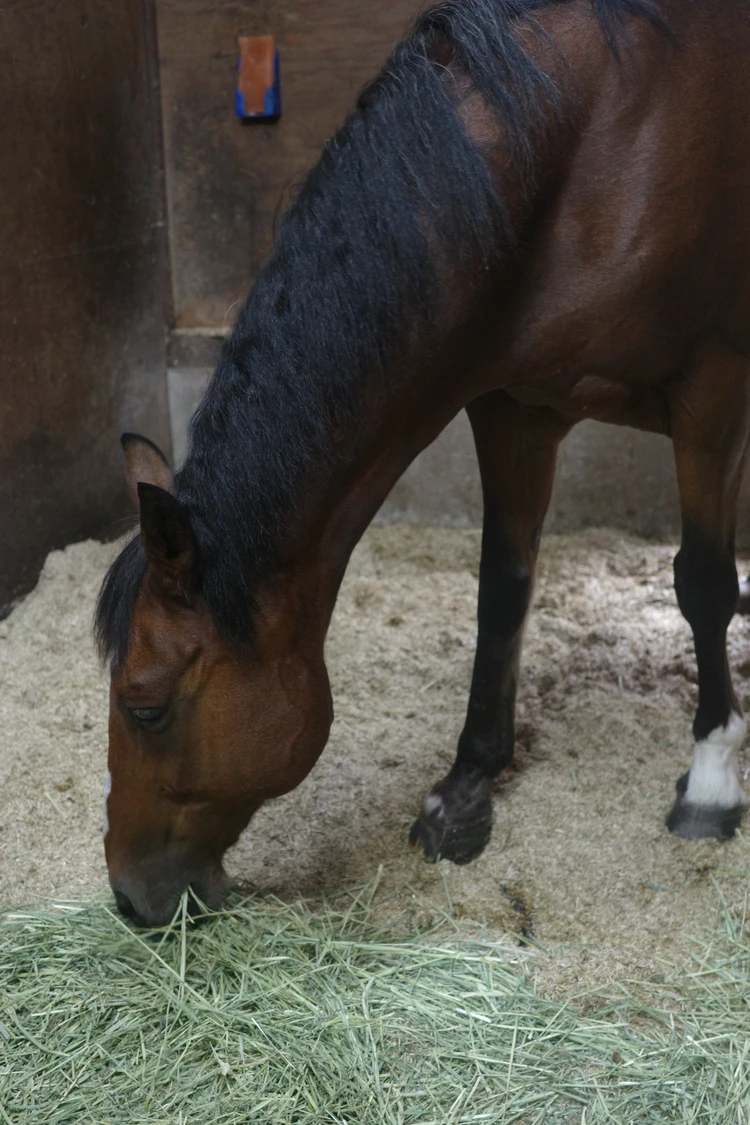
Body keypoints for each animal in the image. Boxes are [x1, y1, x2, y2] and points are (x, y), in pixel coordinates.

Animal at [96, 0, 750, 927]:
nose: (129, 892)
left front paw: (711, 782)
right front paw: (467, 785)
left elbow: (700, 583)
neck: (597, 137)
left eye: (145, 707)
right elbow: (502, 588)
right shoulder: (516, 407)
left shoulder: (711, 388)